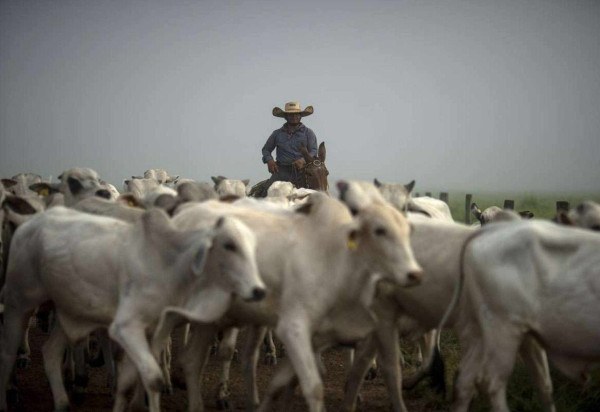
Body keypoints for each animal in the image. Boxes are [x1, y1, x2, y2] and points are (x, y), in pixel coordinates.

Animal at [0, 208, 264, 410]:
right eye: (229, 245)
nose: (258, 290)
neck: (169, 266)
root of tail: (26, 223)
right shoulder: (125, 328)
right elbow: (153, 379)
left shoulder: (153, 332)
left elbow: (129, 384)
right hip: (17, 303)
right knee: (8, 353)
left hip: (68, 311)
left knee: (51, 353)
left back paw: (63, 404)